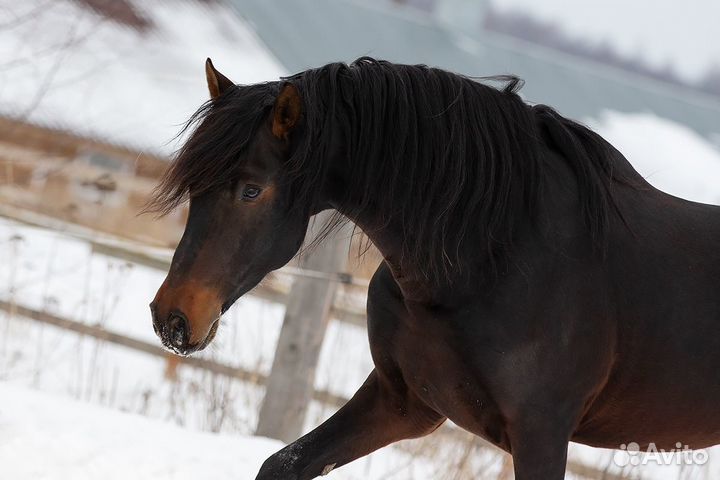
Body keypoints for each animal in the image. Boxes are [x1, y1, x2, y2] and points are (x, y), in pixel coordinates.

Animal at [148, 58, 720, 478]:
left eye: (251, 190)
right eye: (193, 187)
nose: (171, 318)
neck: (496, 258)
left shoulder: (540, 435)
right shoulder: (403, 404)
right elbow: (282, 462)